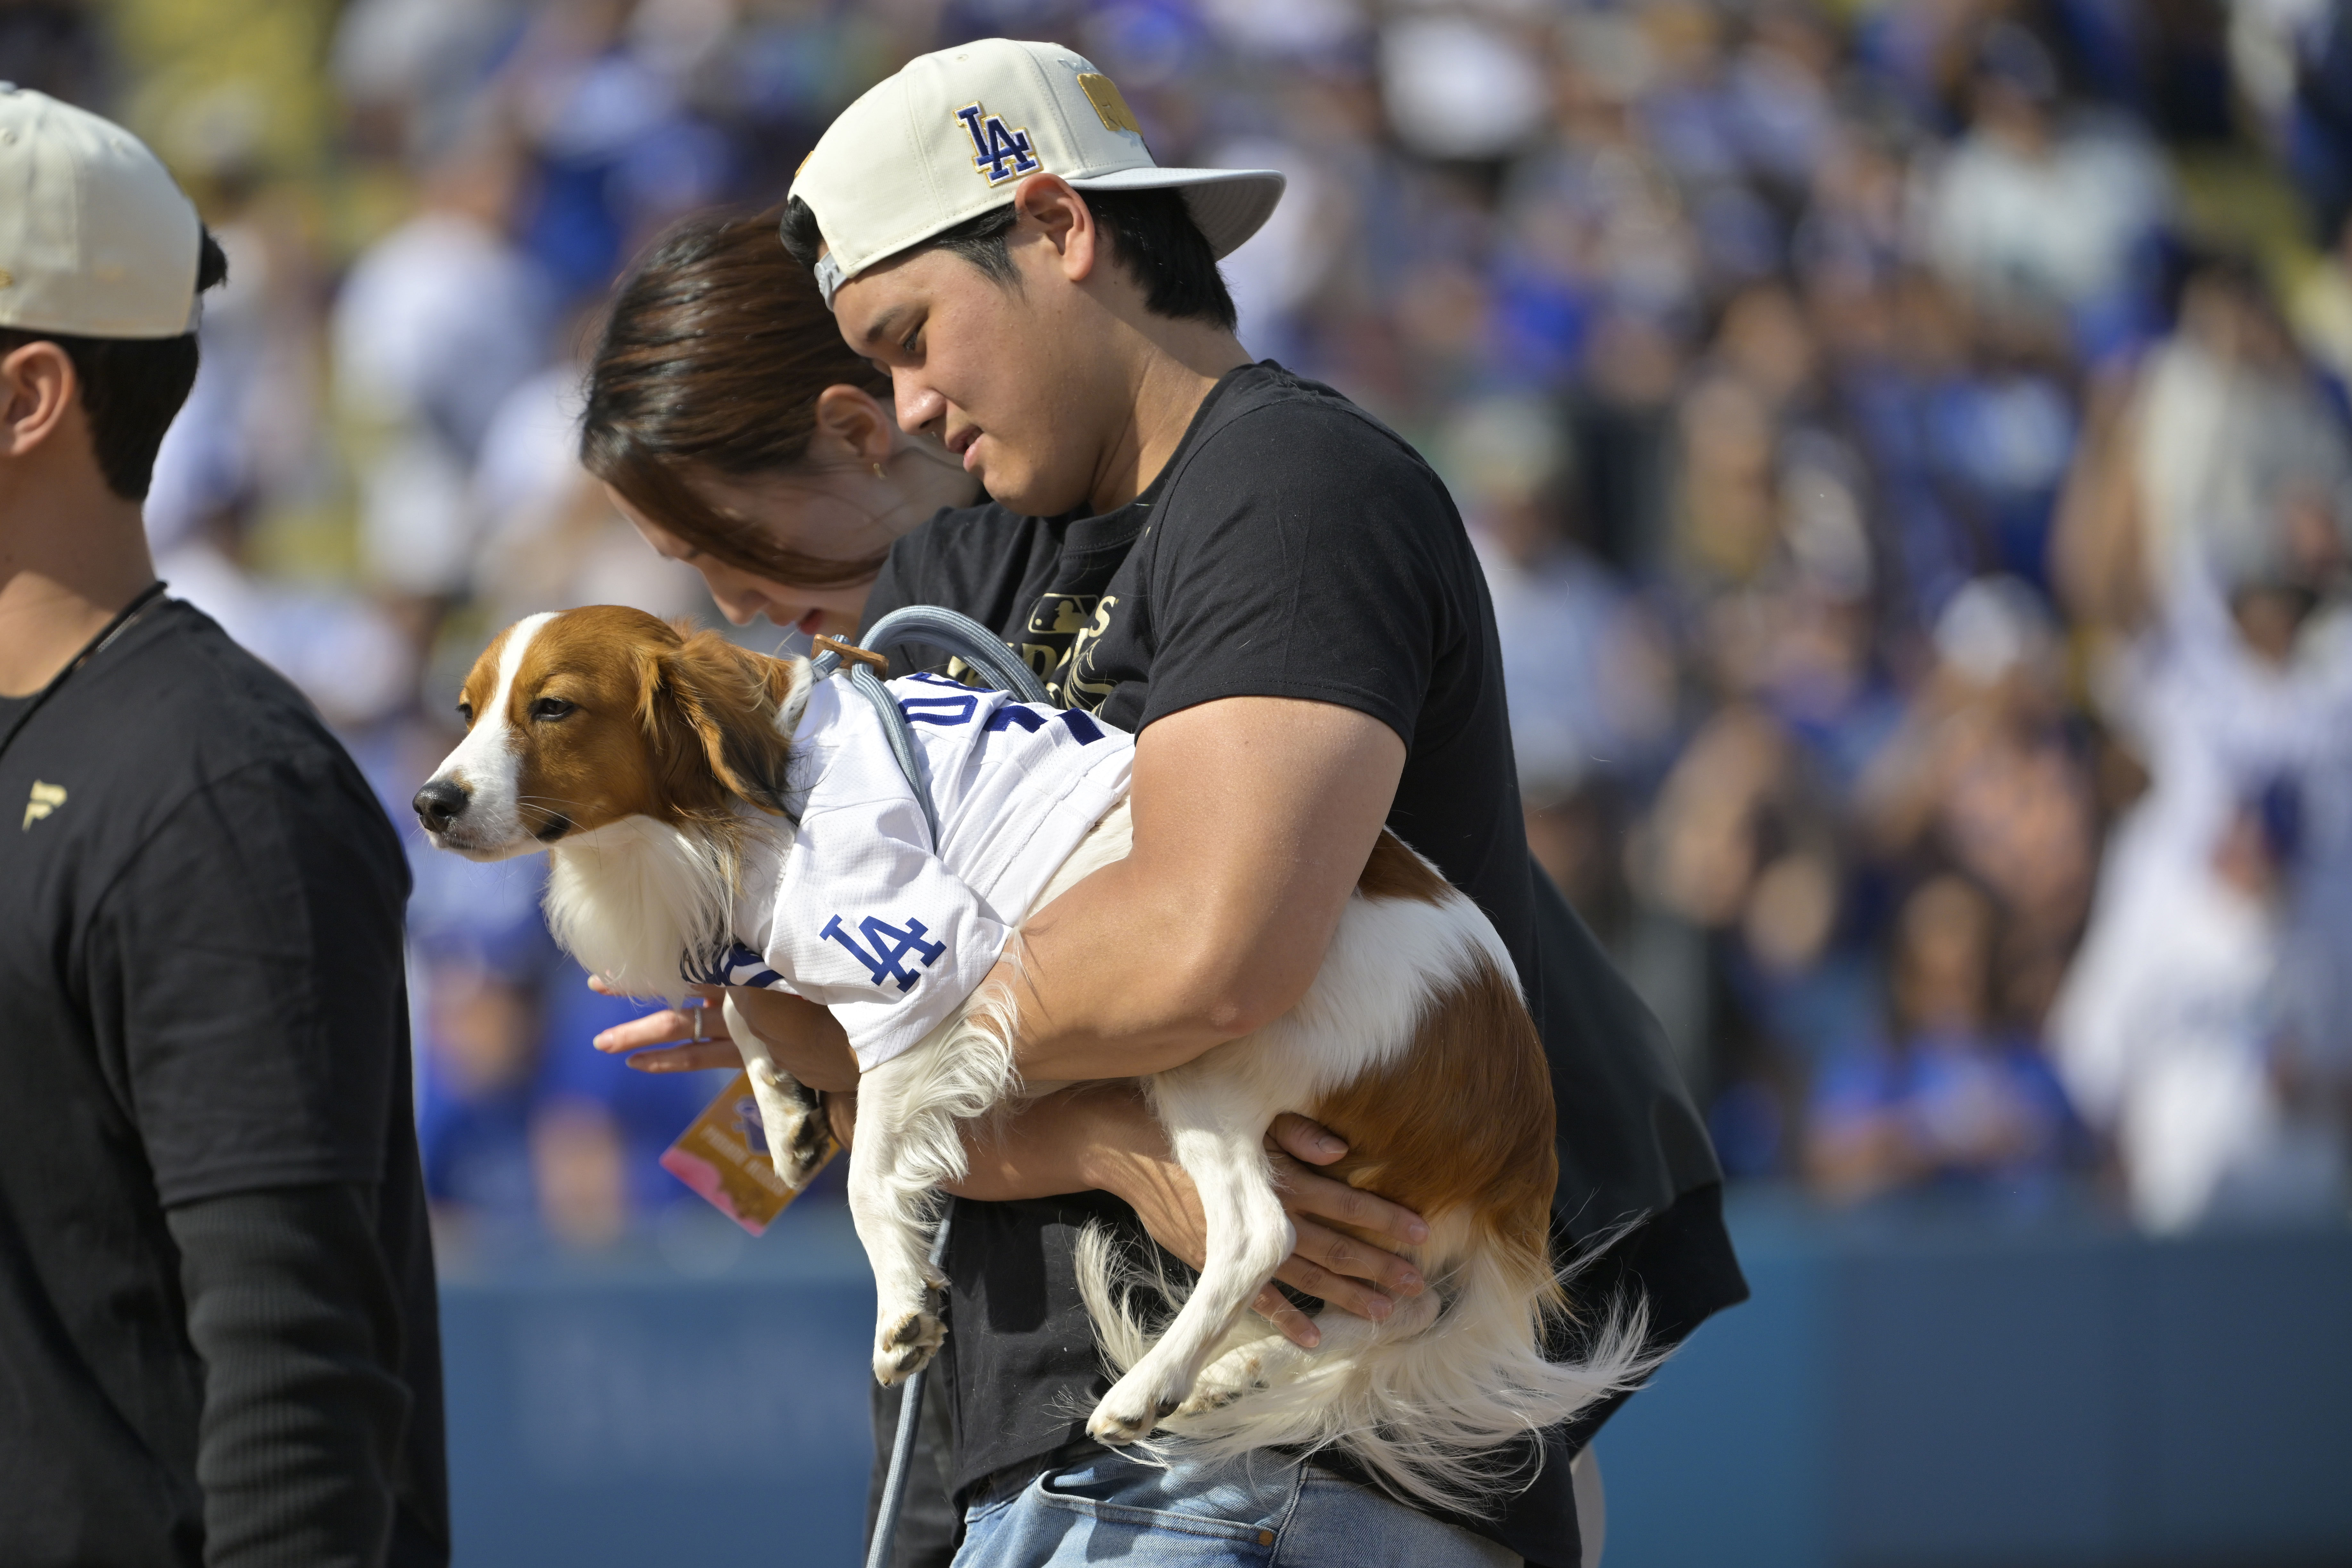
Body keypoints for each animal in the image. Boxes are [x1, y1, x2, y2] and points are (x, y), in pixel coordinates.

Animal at [414, 606, 1646, 1514]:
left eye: (554, 708)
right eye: (466, 709)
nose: (429, 800)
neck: (732, 795)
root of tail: (1516, 1110)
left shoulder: (924, 965)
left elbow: (873, 1176)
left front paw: (898, 1300)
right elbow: (757, 1005)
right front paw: (785, 1111)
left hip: (1215, 1059)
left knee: (1261, 1233)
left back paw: (1149, 1386)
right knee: (1381, 1305)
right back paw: (1236, 1367)